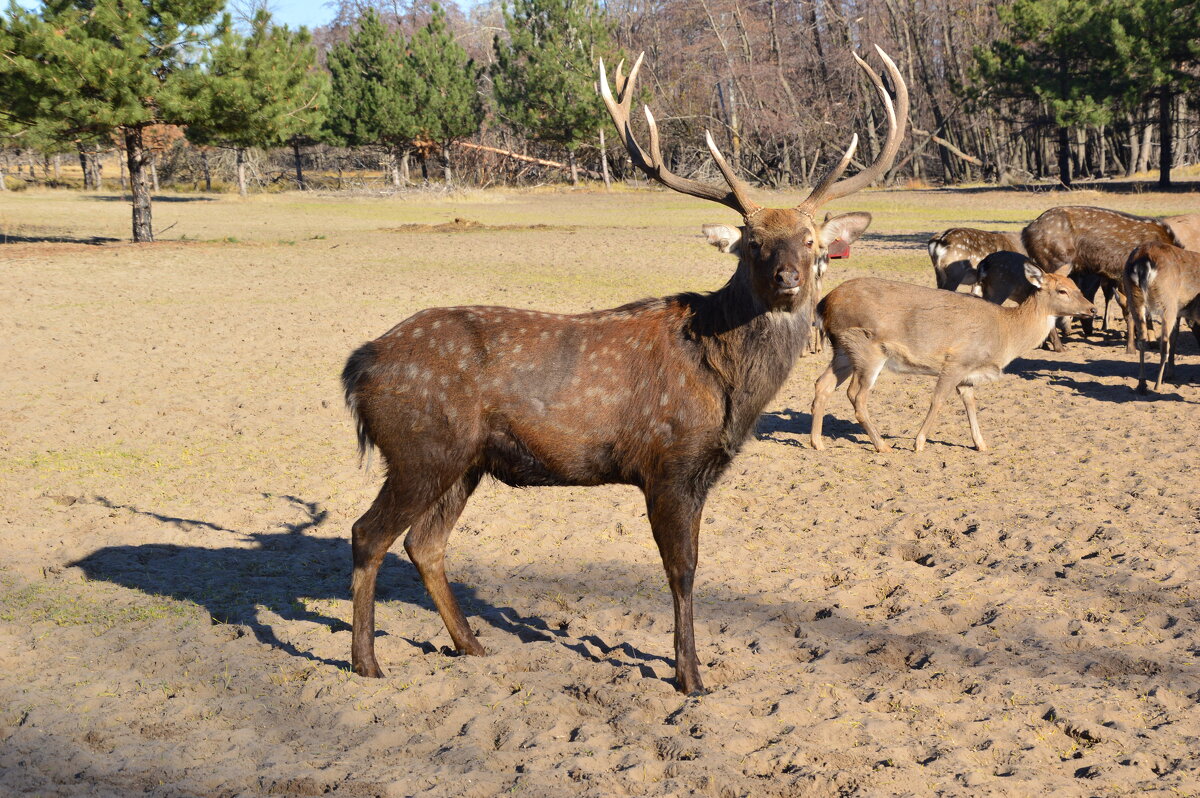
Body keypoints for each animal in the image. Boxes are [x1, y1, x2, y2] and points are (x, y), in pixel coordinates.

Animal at [340, 46, 907, 691]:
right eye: (753, 242)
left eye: (810, 240)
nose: (788, 278)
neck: (729, 384)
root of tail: (358, 366)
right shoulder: (669, 461)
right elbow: (682, 570)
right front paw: (690, 675)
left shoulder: (698, 472)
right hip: (420, 448)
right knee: (368, 533)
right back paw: (367, 661)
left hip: (462, 462)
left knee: (425, 544)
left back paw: (472, 646)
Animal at [806, 262, 1099, 453]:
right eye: (1061, 290)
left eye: (1075, 284)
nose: (1092, 309)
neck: (1005, 334)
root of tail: (824, 305)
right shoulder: (956, 361)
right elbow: (937, 400)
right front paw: (918, 443)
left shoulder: (968, 374)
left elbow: (971, 404)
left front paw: (981, 444)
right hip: (867, 349)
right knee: (856, 395)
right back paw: (882, 445)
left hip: (843, 350)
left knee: (822, 384)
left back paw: (817, 443)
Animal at [1017, 205, 1176, 352]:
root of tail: (1025, 232)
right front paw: (1136, 344)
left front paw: (1149, 341)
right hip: (1055, 261)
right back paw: (1059, 346)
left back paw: (1044, 343)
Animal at [1123, 241, 1200, 393]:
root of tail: (1143, 260)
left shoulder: (1180, 312)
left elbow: (1175, 336)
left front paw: (1171, 373)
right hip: (1167, 302)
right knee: (1164, 343)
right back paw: (1157, 385)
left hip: (1134, 297)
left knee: (1142, 339)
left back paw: (1142, 384)